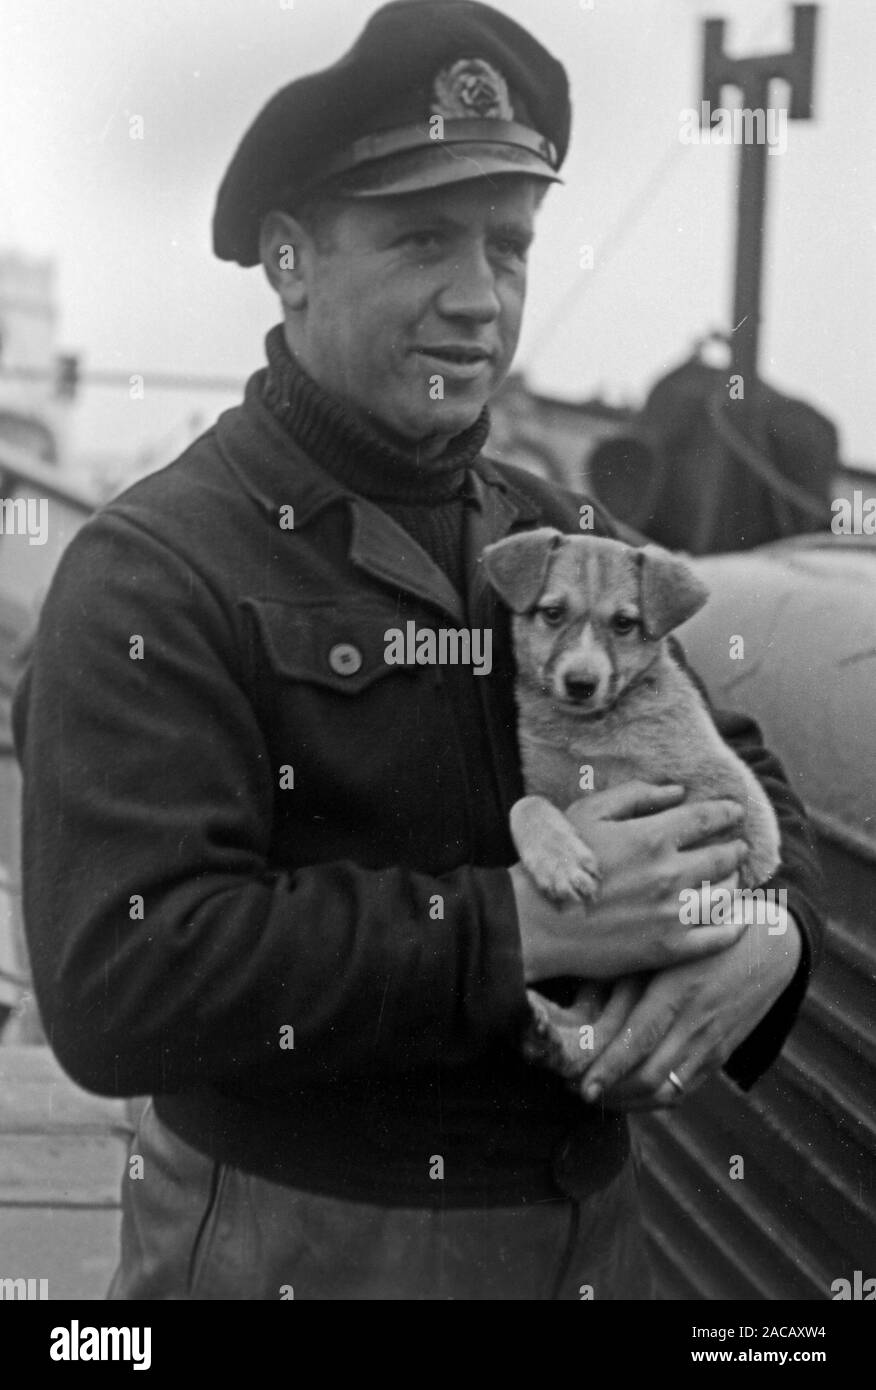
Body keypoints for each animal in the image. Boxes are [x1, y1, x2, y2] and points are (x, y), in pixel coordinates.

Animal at [486, 525, 784, 1078]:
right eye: (552, 613)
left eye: (624, 623)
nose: (581, 684)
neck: (589, 730)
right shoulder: (540, 786)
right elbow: (525, 807)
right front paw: (560, 861)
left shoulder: (721, 789)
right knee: (600, 1012)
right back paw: (551, 1034)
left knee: (616, 1011)